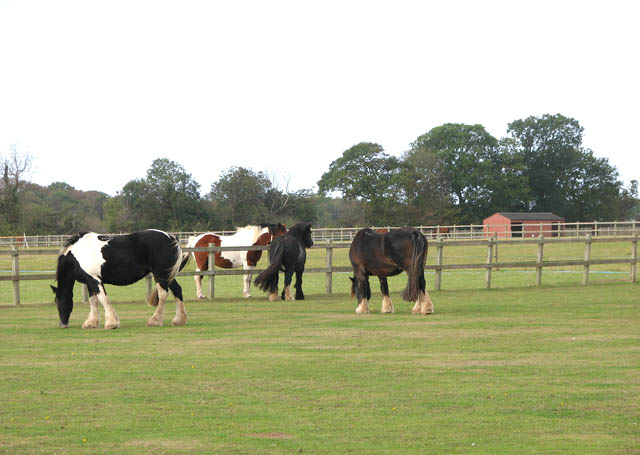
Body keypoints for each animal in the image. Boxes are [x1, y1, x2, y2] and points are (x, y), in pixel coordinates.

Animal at [51, 230, 189, 330]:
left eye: (57, 302)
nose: (63, 324)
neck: (76, 254)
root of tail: (171, 237)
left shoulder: (95, 280)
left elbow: (103, 299)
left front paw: (111, 323)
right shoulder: (89, 282)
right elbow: (93, 301)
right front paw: (91, 323)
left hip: (160, 275)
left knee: (163, 295)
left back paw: (154, 321)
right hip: (168, 276)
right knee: (178, 291)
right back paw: (179, 320)